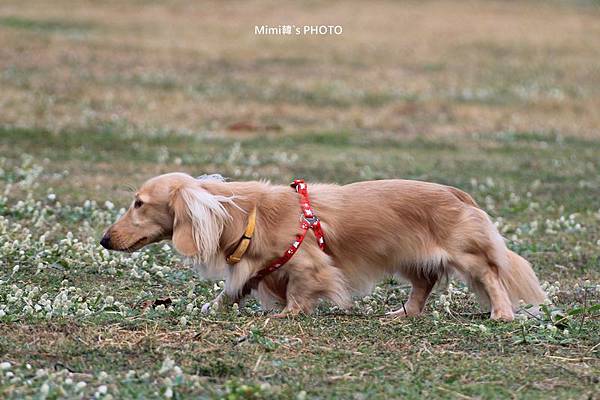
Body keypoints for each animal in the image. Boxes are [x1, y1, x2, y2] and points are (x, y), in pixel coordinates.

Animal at [101, 173, 548, 320]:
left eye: (139, 203)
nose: (104, 239)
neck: (244, 214)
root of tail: (458, 194)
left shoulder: (307, 265)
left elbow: (301, 291)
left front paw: (286, 315)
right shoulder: (251, 269)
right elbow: (229, 292)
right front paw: (209, 309)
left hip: (467, 256)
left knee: (491, 276)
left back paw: (502, 313)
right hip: (407, 257)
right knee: (423, 285)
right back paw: (402, 314)